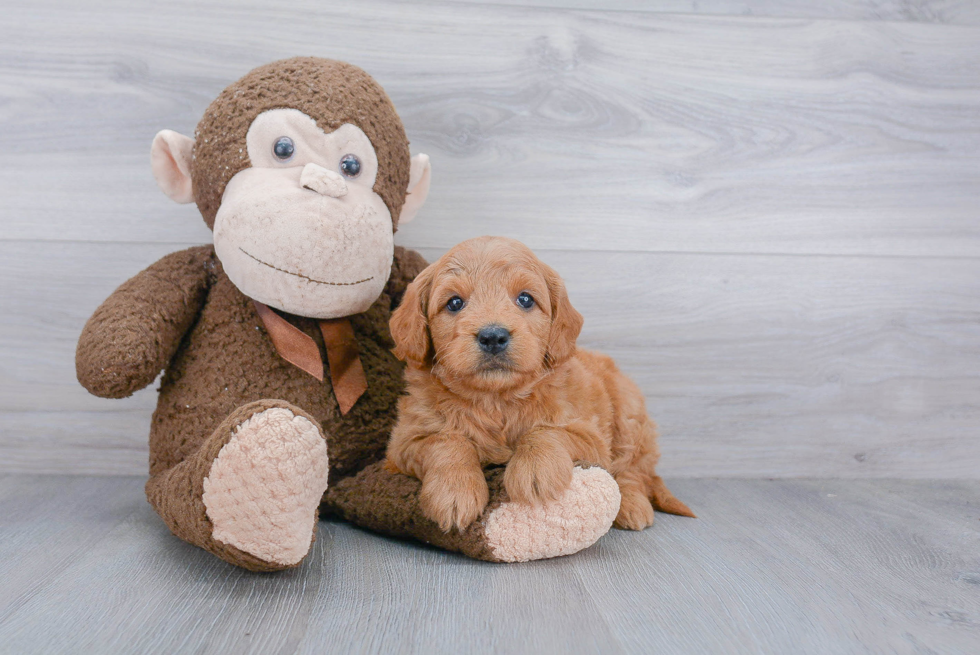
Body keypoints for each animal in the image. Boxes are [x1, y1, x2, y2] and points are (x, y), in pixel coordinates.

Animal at [386, 236, 692, 532]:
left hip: (629, 414)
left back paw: (632, 505)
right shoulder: (402, 445)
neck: (496, 401)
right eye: (454, 303)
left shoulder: (590, 436)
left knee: (633, 471)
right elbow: (445, 440)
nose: (493, 336)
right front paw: (454, 491)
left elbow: (546, 431)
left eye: (525, 299)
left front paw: (535, 471)